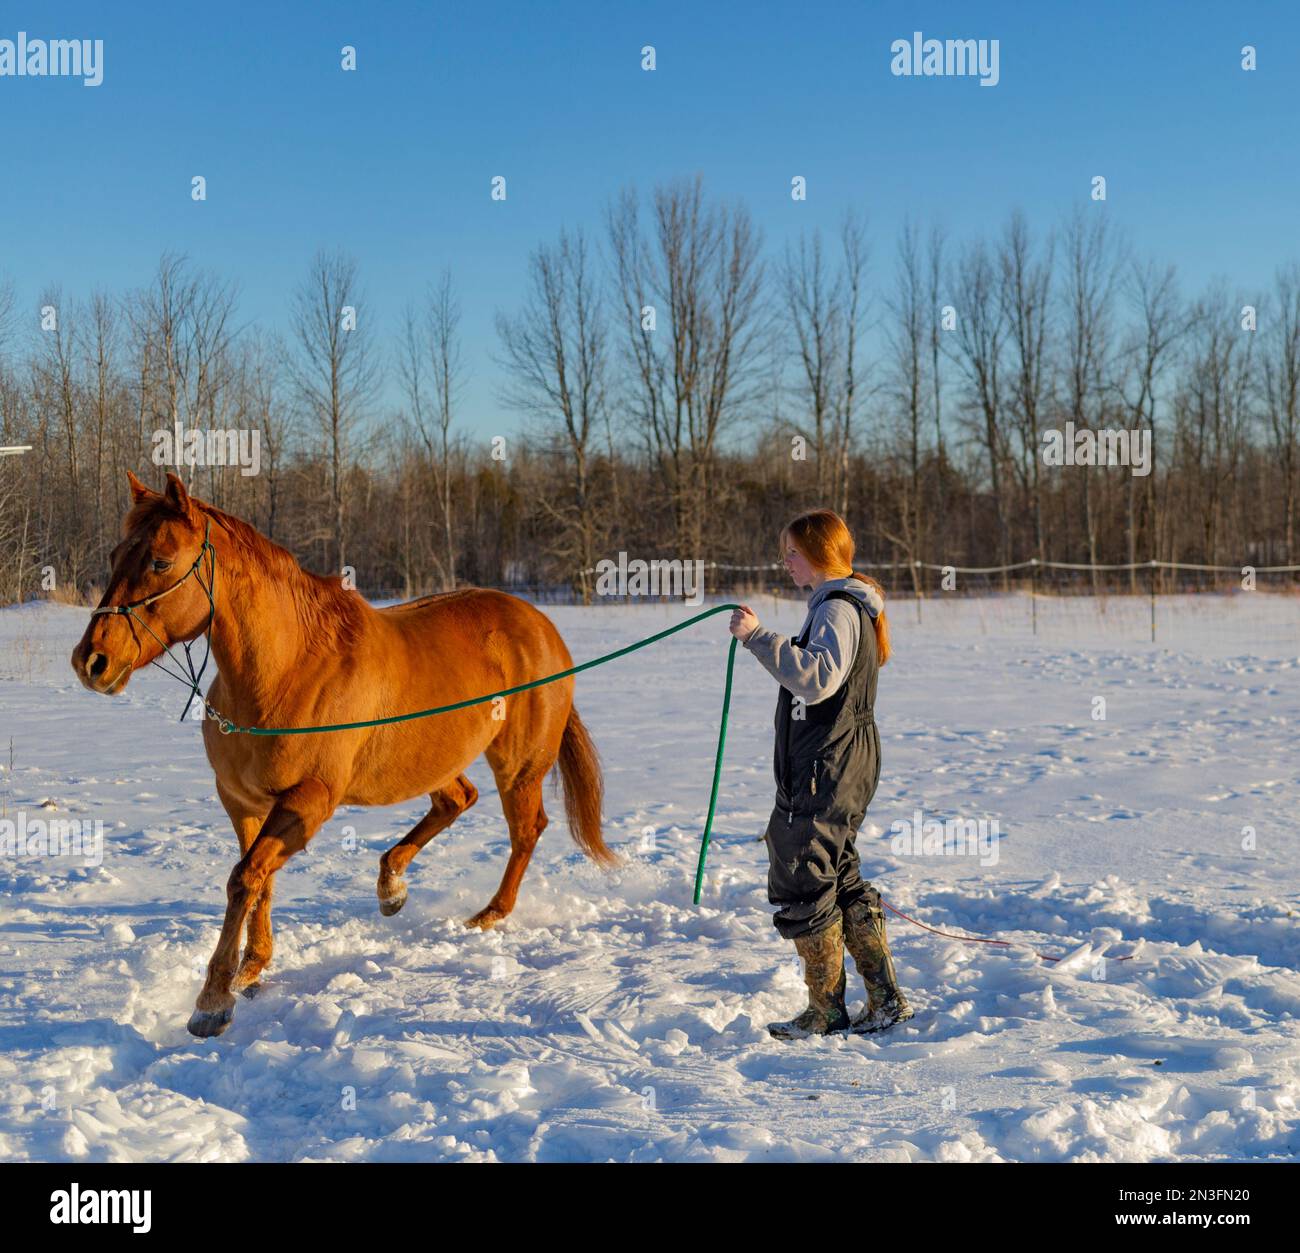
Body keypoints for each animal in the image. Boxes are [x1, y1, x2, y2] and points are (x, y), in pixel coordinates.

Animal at [71, 470, 613, 1039]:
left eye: (160, 561)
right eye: (115, 555)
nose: (92, 661)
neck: (288, 671)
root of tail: (542, 627)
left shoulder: (309, 801)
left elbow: (244, 878)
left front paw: (213, 1001)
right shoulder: (243, 802)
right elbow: (257, 880)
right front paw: (252, 968)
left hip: (518, 765)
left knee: (526, 829)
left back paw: (487, 915)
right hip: (432, 760)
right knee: (457, 800)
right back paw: (391, 886)